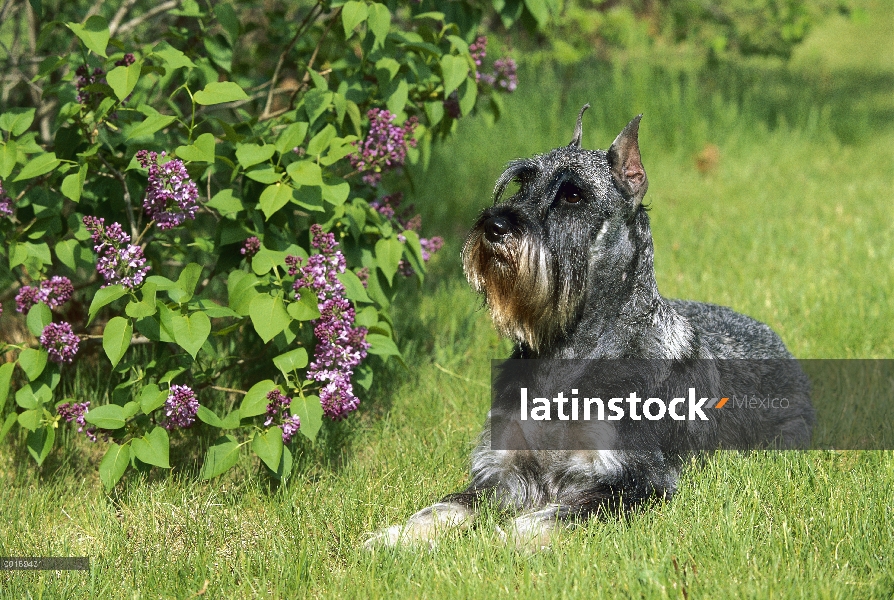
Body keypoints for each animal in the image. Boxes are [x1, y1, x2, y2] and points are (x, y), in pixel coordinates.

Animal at [366, 106, 820, 548]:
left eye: (573, 194)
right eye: (521, 182)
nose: (494, 226)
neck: (566, 354)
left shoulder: (636, 480)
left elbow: (564, 511)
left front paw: (510, 538)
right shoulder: (503, 469)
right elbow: (448, 504)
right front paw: (397, 535)